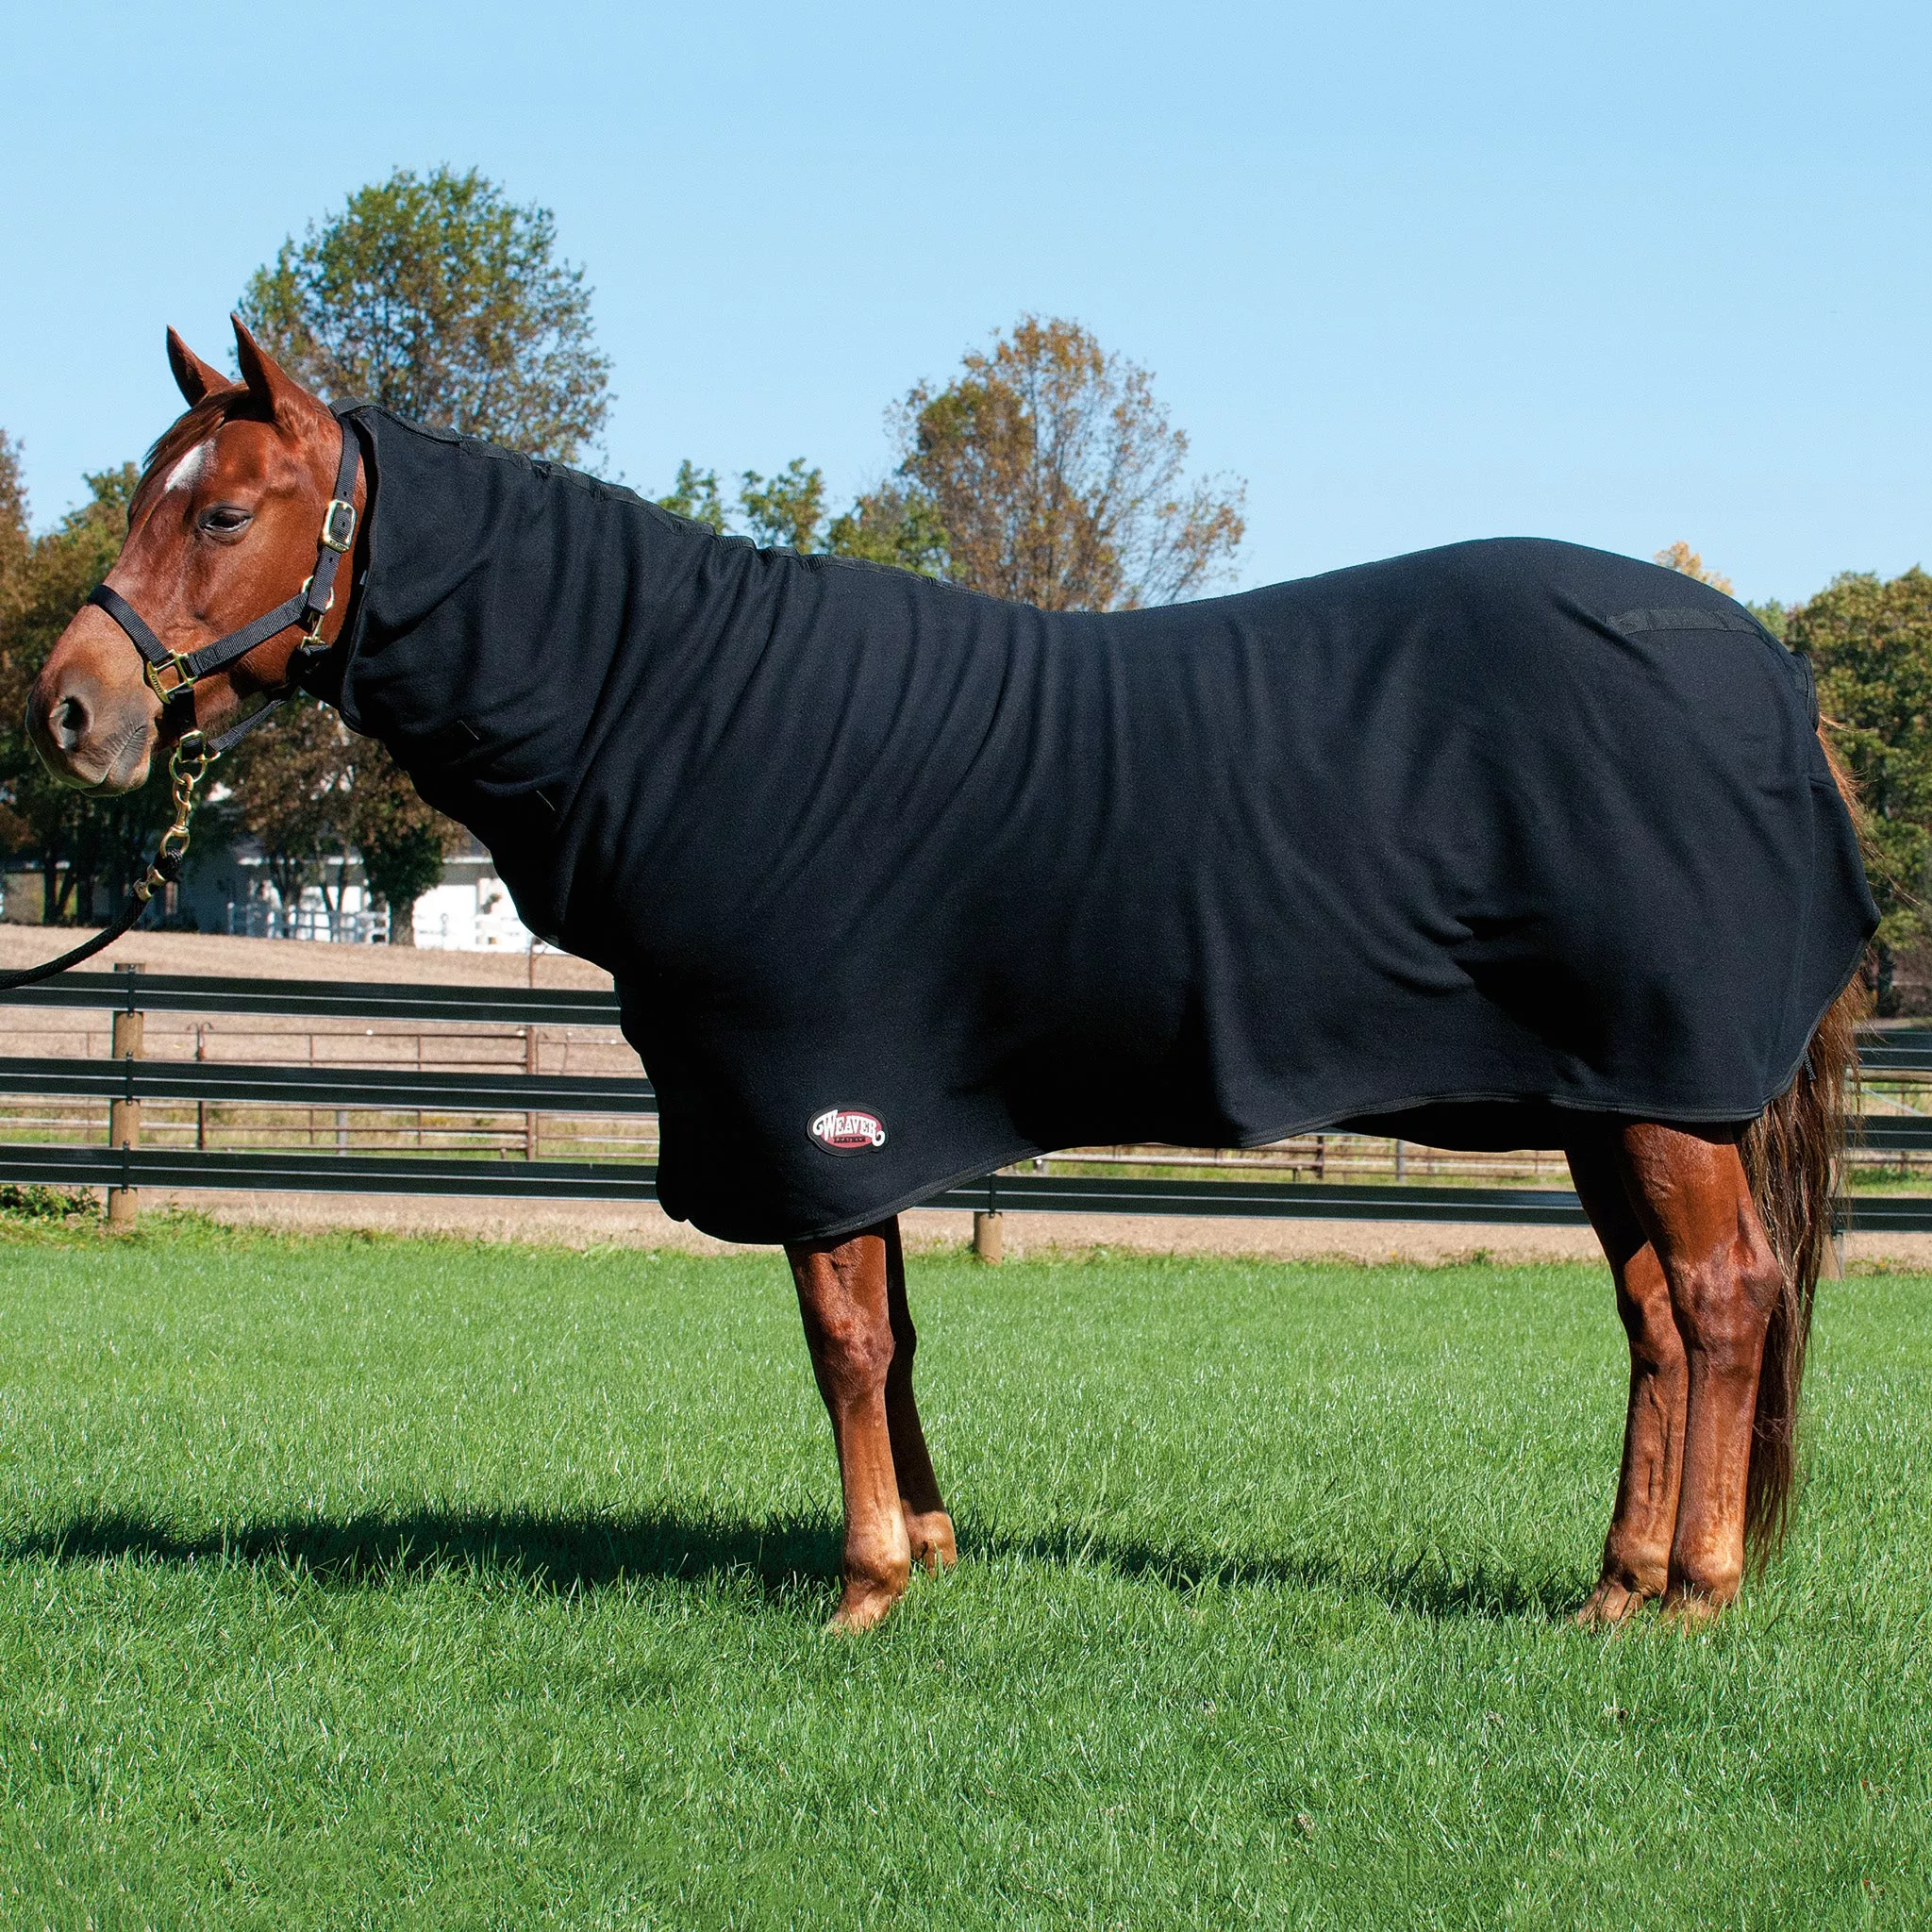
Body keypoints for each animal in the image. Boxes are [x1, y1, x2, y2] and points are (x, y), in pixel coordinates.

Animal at [29, 317, 1874, 1633]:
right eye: (140, 496)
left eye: (222, 508)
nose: (70, 708)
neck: (690, 709)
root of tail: (1768, 675)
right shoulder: (867, 1126)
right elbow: (898, 1336)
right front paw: (929, 1544)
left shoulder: (815, 1104)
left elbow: (845, 1340)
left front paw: (864, 1588)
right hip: (1609, 1100)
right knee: (1654, 1317)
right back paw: (1614, 1588)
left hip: (1665, 1096)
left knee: (1724, 1299)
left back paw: (1694, 1598)